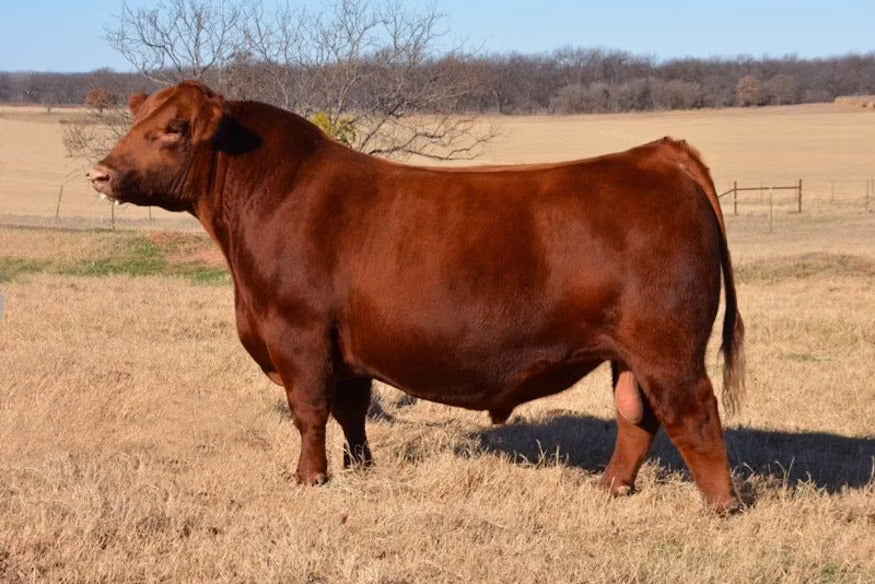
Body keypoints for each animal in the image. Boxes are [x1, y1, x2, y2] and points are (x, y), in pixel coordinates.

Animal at [88, 81, 745, 512]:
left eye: (174, 128)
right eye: (138, 121)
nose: (100, 172)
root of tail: (657, 153)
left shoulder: (297, 333)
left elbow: (309, 411)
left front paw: (308, 480)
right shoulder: (344, 348)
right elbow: (351, 411)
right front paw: (359, 469)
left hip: (667, 345)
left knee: (692, 411)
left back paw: (721, 507)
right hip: (628, 352)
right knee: (638, 417)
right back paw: (611, 488)